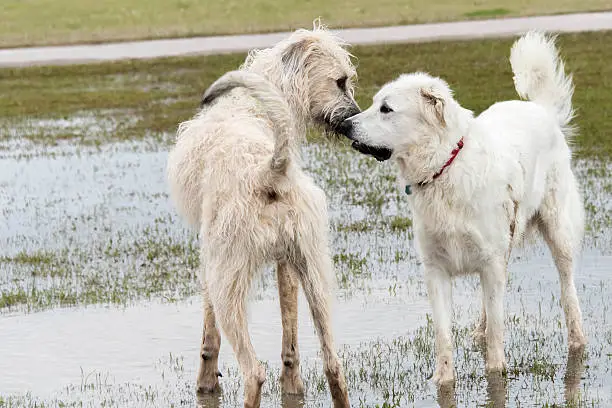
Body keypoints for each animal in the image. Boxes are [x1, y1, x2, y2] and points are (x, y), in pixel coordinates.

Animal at [167, 26, 358, 408]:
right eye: (340, 81)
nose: (353, 121)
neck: (255, 107)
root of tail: (269, 171)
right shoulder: (287, 265)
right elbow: (290, 338)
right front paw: (293, 386)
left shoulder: (208, 260)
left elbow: (209, 336)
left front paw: (206, 384)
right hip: (314, 271)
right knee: (333, 364)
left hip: (228, 280)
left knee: (253, 372)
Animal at [340, 32, 588, 386]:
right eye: (375, 104)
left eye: (386, 109)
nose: (345, 125)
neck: (444, 167)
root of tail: (540, 110)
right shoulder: (437, 269)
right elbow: (443, 334)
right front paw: (442, 380)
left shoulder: (489, 262)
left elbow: (498, 331)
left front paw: (496, 375)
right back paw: (479, 331)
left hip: (557, 232)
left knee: (568, 289)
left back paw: (577, 339)